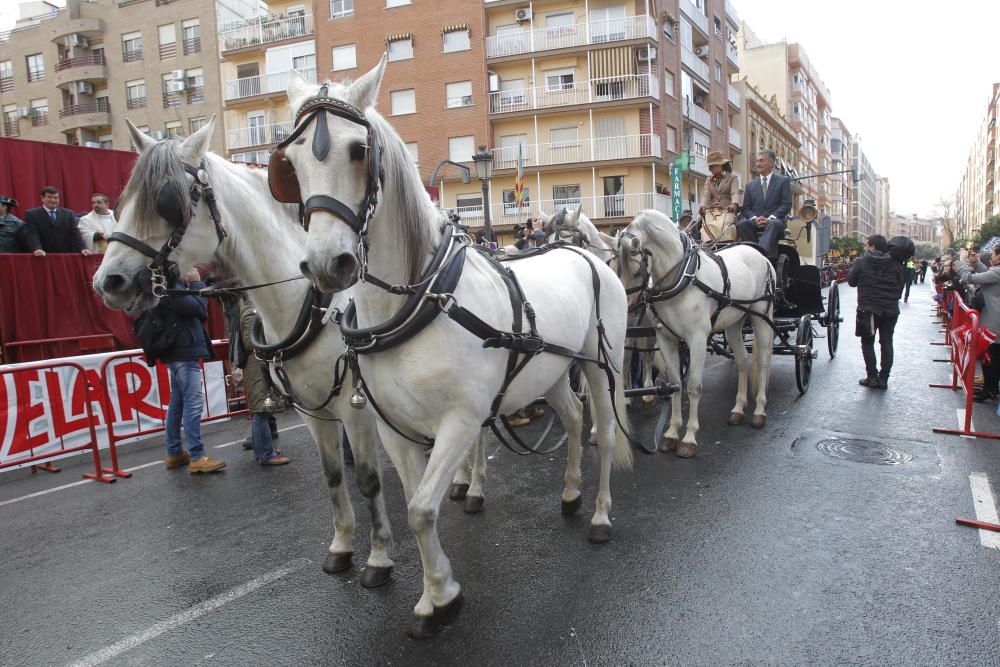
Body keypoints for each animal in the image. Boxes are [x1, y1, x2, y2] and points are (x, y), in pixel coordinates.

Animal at [92, 120, 398, 588]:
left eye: (167, 202)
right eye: (123, 201)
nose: (109, 282)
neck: (310, 304)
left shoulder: (355, 406)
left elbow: (366, 478)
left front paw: (379, 556)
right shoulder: (313, 411)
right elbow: (332, 476)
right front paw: (342, 546)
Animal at [280, 61, 632, 636]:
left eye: (358, 150)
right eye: (288, 164)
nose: (326, 264)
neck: (421, 301)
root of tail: (585, 254)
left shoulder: (461, 419)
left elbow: (422, 509)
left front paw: (441, 597)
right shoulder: (393, 427)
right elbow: (414, 506)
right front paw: (436, 589)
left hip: (603, 368)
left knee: (602, 431)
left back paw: (601, 514)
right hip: (553, 373)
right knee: (576, 421)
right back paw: (570, 493)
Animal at [616, 210, 772, 460]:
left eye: (637, 269)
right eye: (614, 267)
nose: (625, 309)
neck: (682, 279)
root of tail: (759, 254)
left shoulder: (697, 340)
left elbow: (694, 387)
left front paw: (689, 438)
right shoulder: (666, 339)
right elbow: (675, 384)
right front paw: (671, 434)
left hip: (761, 318)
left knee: (763, 361)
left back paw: (759, 411)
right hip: (734, 324)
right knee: (743, 361)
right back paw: (738, 409)